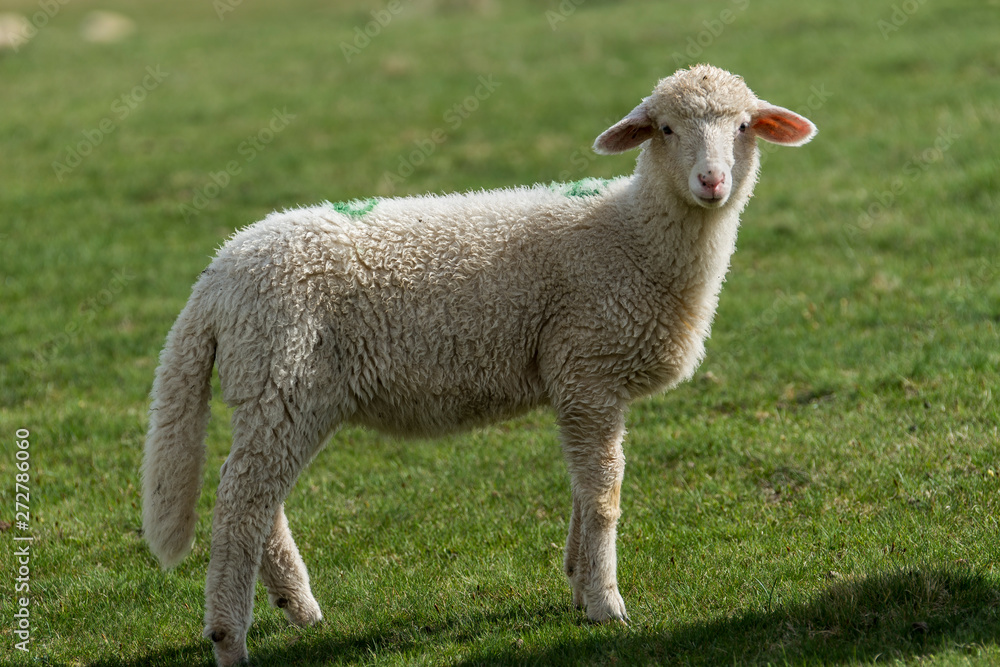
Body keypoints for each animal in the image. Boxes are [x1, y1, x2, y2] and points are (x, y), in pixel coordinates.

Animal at [145, 64, 820, 667]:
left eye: (743, 125)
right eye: (665, 129)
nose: (712, 181)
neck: (631, 238)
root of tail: (215, 279)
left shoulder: (578, 383)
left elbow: (582, 492)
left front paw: (576, 581)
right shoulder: (586, 367)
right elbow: (603, 494)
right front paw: (605, 603)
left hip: (280, 389)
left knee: (255, 494)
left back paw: (298, 607)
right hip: (282, 376)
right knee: (243, 501)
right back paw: (229, 638)